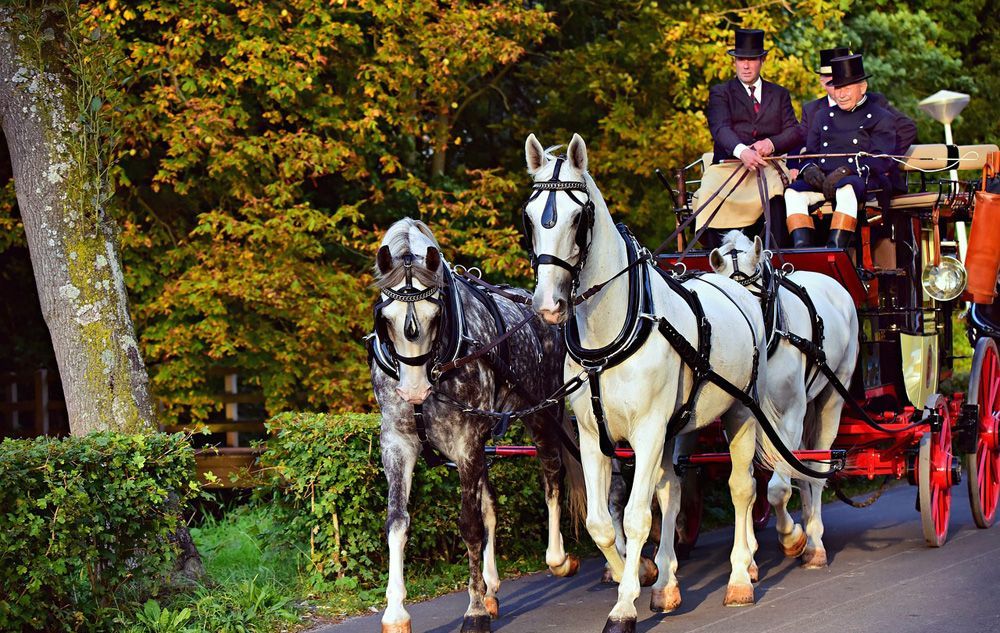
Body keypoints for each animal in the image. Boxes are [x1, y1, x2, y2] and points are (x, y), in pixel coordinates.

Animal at [524, 131, 820, 628]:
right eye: (530, 217)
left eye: (578, 217)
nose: (548, 304)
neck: (613, 333)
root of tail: (734, 284)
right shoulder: (593, 434)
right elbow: (603, 523)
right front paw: (642, 574)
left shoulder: (647, 431)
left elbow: (636, 517)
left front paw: (624, 606)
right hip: (680, 427)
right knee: (674, 491)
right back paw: (666, 585)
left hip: (741, 412)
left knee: (744, 488)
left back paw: (742, 575)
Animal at [712, 230, 860, 564]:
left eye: (757, 300)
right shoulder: (741, 418)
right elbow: (750, 479)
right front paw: (750, 553)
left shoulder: (791, 414)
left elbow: (778, 489)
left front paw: (792, 537)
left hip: (833, 395)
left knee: (817, 466)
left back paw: (815, 543)